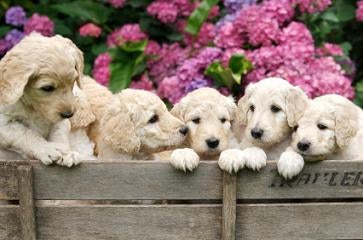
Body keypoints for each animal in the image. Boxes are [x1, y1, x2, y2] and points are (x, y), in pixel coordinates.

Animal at [0, 32, 88, 166]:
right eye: (47, 88)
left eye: (73, 82)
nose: (69, 114)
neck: (33, 106)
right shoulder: (4, 124)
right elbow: (26, 134)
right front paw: (48, 149)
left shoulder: (60, 121)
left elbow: (59, 134)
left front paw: (66, 152)